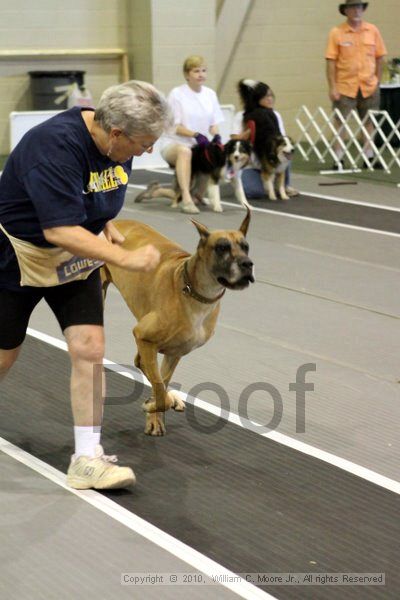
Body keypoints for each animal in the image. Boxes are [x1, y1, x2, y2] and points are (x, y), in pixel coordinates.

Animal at [101, 210, 255, 436]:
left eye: (246, 247)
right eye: (222, 247)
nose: (247, 264)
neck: (196, 294)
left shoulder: (175, 352)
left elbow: (161, 383)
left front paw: (155, 414)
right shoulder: (143, 336)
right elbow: (158, 386)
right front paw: (153, 406)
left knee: (142, 364)